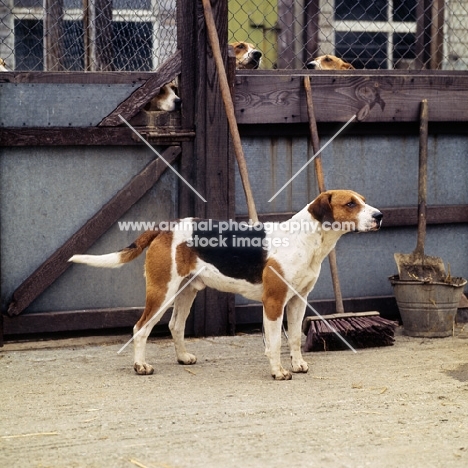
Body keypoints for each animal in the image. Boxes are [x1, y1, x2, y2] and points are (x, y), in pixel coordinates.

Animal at [70, 188, 384, 378]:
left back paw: (183, 358)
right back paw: (140, 365)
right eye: (350, 204)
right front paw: (278, 371)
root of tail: (165, 227)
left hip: (186, 291)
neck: (305, 239)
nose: (380, 216)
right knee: (141, 328)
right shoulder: (274, 303)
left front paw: (297, 364)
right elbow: (274, 341)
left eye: (363, 200)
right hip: (162, 292)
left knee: (175, 326)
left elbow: (294, 338)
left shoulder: (298, 300)